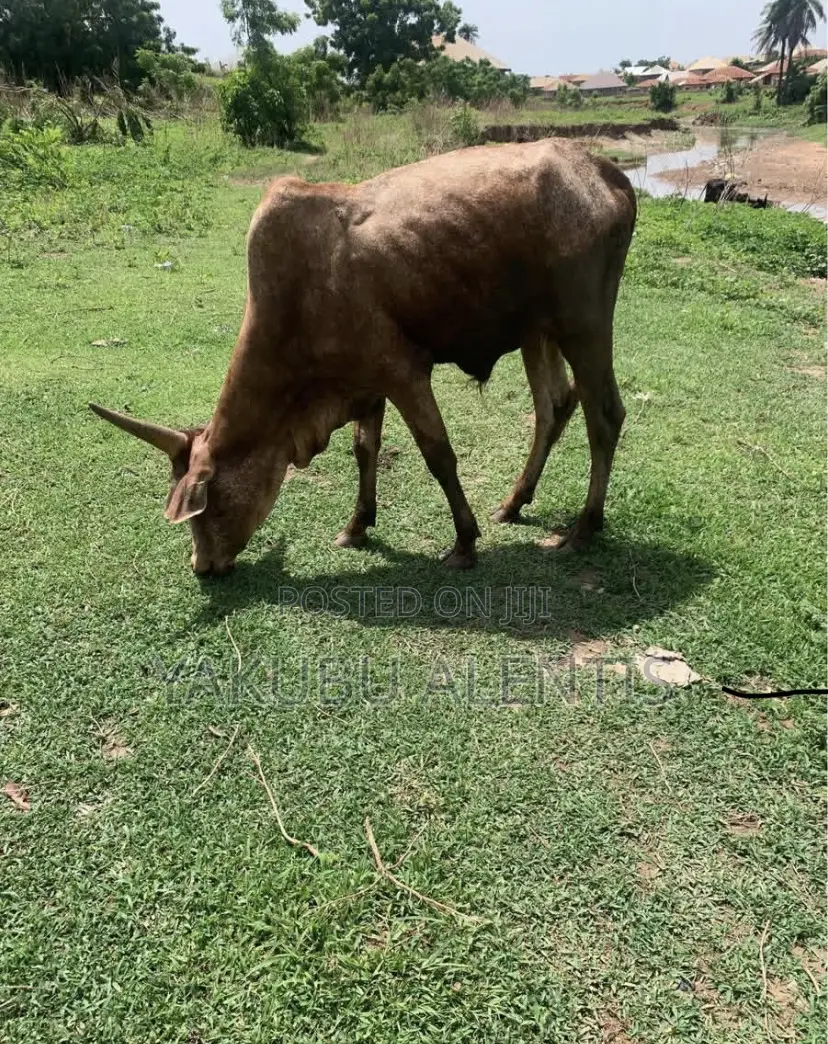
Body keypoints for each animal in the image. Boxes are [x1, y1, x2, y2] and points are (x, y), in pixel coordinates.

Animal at [90, 139, 637, 576]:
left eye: (209, 508)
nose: (202, 566)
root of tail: (606, 172)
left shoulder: (403, 372)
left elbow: (438, 454)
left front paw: (464, 542)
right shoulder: (366, 380)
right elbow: (364, 450)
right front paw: (357, 525)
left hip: (584, 325)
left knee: (604, 416)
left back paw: (583, 527)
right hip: (536, 332)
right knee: (554, 406)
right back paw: (515, 502)